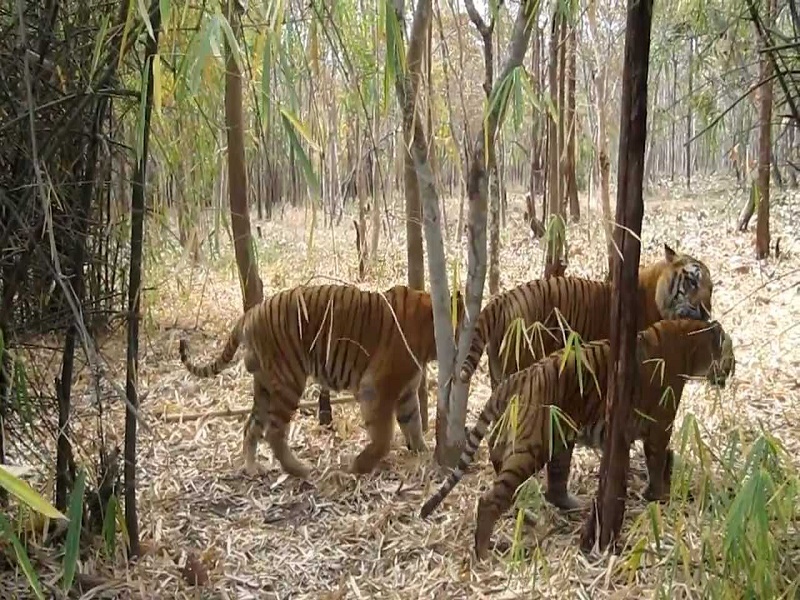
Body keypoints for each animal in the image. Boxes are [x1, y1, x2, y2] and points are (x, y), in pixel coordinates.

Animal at [179, 284, 464, 479]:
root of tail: (250, 313)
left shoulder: (405, 392)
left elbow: (413, 424)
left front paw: (423, 452)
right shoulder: (377, 388)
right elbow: (384, 435)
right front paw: (359, 466)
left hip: (264, 386)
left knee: (251, 427)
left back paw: (253, 469)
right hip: (289, 379)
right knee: (273, 431)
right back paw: (300, 470)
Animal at [420, 318, 735, 560]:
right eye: (731, 354)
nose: (731, 371)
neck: (691, 342)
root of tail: (520, 376)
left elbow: (662, 460)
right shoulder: (660, 427)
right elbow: (658, 461)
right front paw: (659, 496)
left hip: (550, 438)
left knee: (528, 474)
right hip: (535, 445)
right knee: (489, 499)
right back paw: (484, 553)